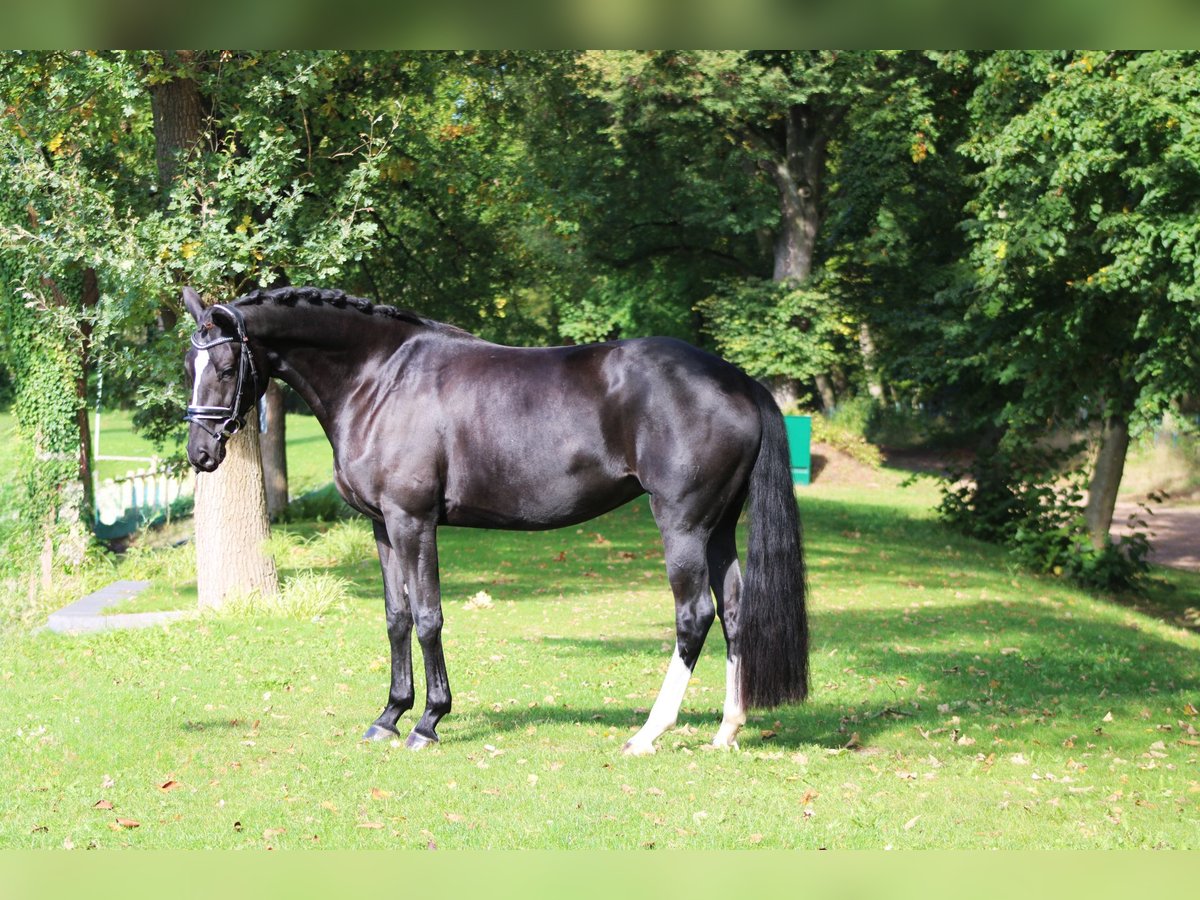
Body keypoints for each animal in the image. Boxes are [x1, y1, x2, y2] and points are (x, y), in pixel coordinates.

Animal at [184, 286, 806, 753]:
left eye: (225, 365)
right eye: (189, 363)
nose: (200, 453)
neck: (380, 378)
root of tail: (738, 381)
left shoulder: (413, 522)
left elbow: (428, 616)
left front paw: (428, 721)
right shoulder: (382, 526)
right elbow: (395, 618)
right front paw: (388, 716)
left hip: (682, 525)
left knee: (694, 615)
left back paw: (649, 733)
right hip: (718, 527)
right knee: (735, 610)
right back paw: (726, 731)